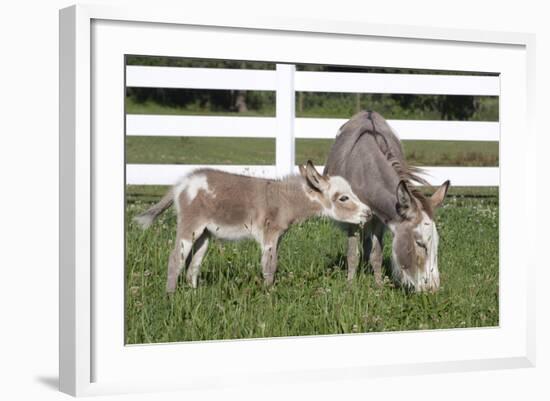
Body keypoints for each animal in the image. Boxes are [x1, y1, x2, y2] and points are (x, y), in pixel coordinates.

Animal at [135, 161, 374, 292]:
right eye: (343, 198)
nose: (369, 213)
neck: (284, 200)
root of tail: (181, 184)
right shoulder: (269, 234)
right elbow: (269, 266)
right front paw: (269, 296)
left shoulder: (278, 236)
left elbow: (272, 263)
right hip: (190, 226)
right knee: (176, 258)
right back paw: (170, 296)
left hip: (204, 234)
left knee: (193, 263)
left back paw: (193, 295)